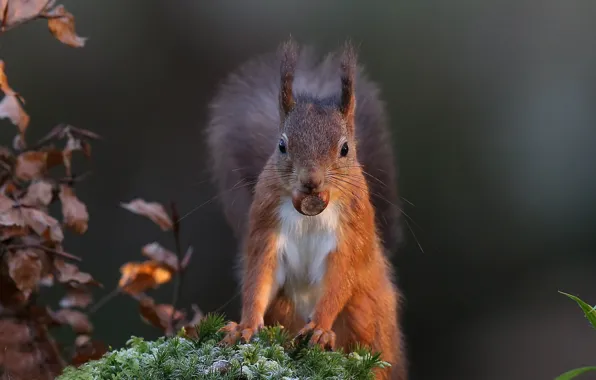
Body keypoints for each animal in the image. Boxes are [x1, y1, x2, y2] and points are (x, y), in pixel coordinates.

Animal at [204, 39, 406, 380]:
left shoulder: (350, 232)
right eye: (282, 145)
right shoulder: (266, 227)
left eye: (345, 148)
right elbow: (260, 276)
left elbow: (340, 277)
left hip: (366, 313)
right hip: (285, 308)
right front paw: (245, 326)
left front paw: (320, 329)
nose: (311, 182)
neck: (311, 213)